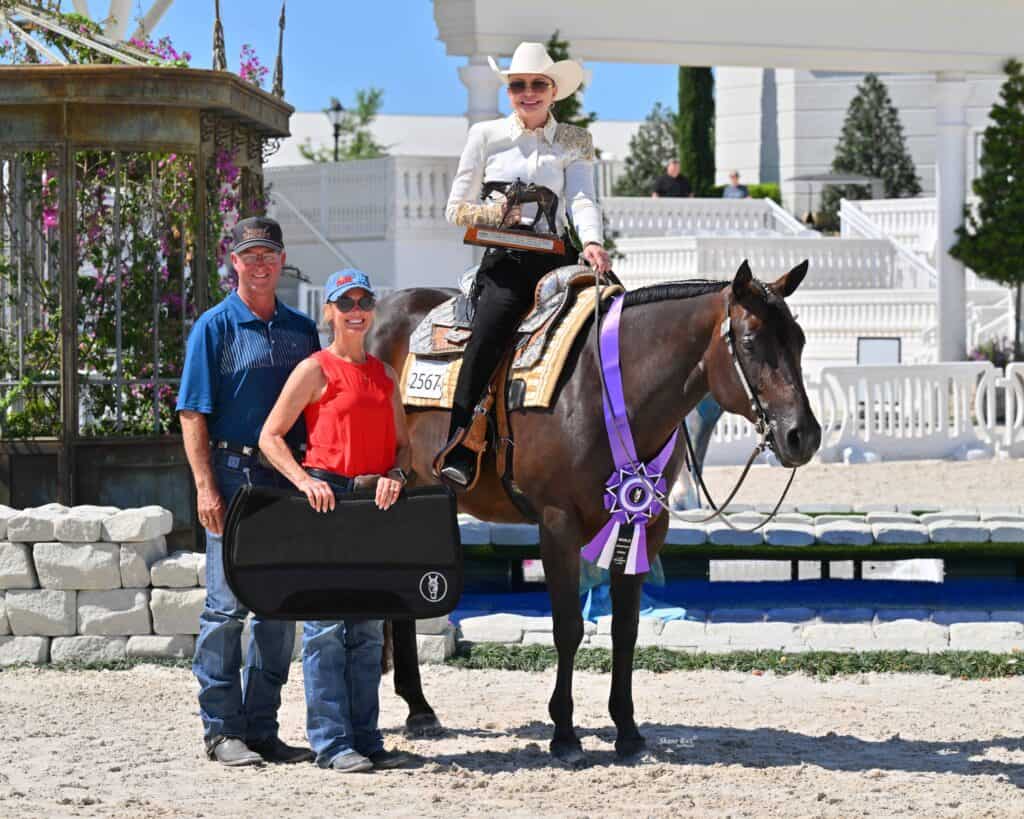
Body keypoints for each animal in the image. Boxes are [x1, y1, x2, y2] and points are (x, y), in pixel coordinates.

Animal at [366, 259, 821, 763]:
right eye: (750, 341)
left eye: (799, 339)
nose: (802, 435)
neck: (605, 389)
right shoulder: (557, 525)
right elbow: (569, 627)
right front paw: (564, 734)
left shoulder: (646, 523)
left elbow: (626, 629)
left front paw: (627, 730)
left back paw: (419, 709)